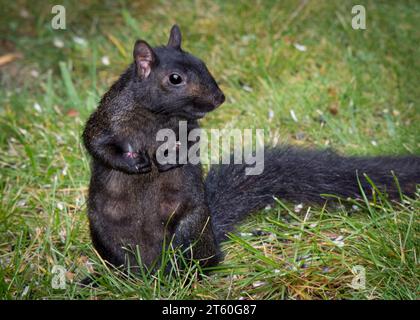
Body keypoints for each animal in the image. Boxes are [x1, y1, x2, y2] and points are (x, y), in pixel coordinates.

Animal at [83, 25, 420, 272]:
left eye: (203, 64)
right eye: (175, 78)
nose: (219, 98)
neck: (158, 116)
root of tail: (152, 264)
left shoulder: (189, 130)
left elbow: (190, 147)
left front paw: (168, 158)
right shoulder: (109, 115)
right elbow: (95, 142)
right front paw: (132, 163)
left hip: (191, 226)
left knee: (197, 259)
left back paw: (183, 273)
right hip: (103, 231)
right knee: (123, 261)